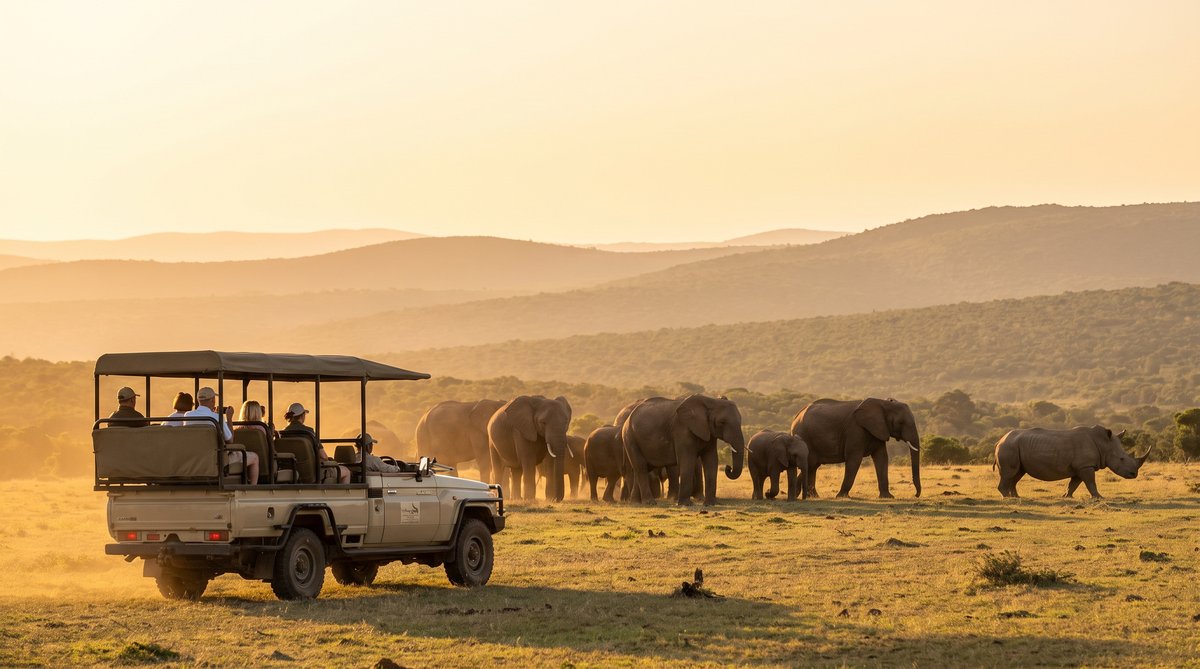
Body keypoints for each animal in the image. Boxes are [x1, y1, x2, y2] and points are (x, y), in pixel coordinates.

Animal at [790, 398, 921, 499]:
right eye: (901, 422)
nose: (915, 495)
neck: (882, 403)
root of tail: (796, 417)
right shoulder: (855, 430)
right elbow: (855, 459)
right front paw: (842, 497)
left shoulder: (879, 430)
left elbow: (882, 458)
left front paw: (887, 497)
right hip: (804, 437)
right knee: (810, 464)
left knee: (813, 466)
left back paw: (812, 496)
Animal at [994, 426, 1152, 498]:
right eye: (1122, 459)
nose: (1134, 474)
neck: (1103, 444)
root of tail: (999, 441)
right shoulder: (1085, 466)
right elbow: (1091, 483)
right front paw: (1099, 497)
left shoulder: (1080, 467)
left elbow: (1074, 484)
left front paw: (1067, 496)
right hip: (1008, 447)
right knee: (1009, 474)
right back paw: (1007, 497)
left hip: (1014, 447)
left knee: (1017, 474)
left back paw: (1016, 497)